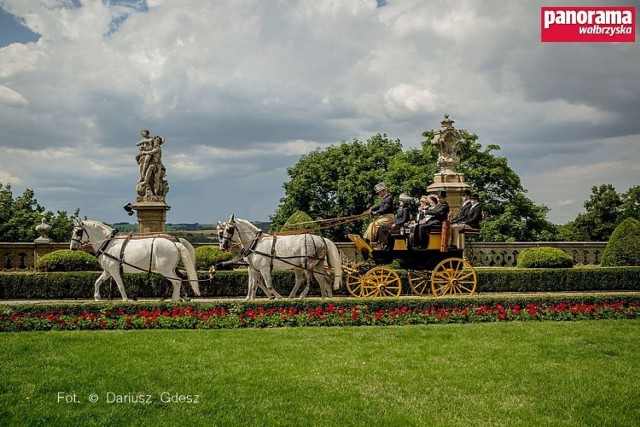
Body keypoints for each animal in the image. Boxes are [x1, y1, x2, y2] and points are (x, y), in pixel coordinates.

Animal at [69, 219, 200, 302]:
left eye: (78, 232)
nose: (72, 247)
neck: (109, 244)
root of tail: (175, 242)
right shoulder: (108, 271)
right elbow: (98, 282)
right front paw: (97, 297)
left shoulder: (114, 270)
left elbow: (120, 285)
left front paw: (125, 299)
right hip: (169, 269)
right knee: (177, 280)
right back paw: (175, 298)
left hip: (165, 269)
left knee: (177, 281)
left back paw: (173, 299)